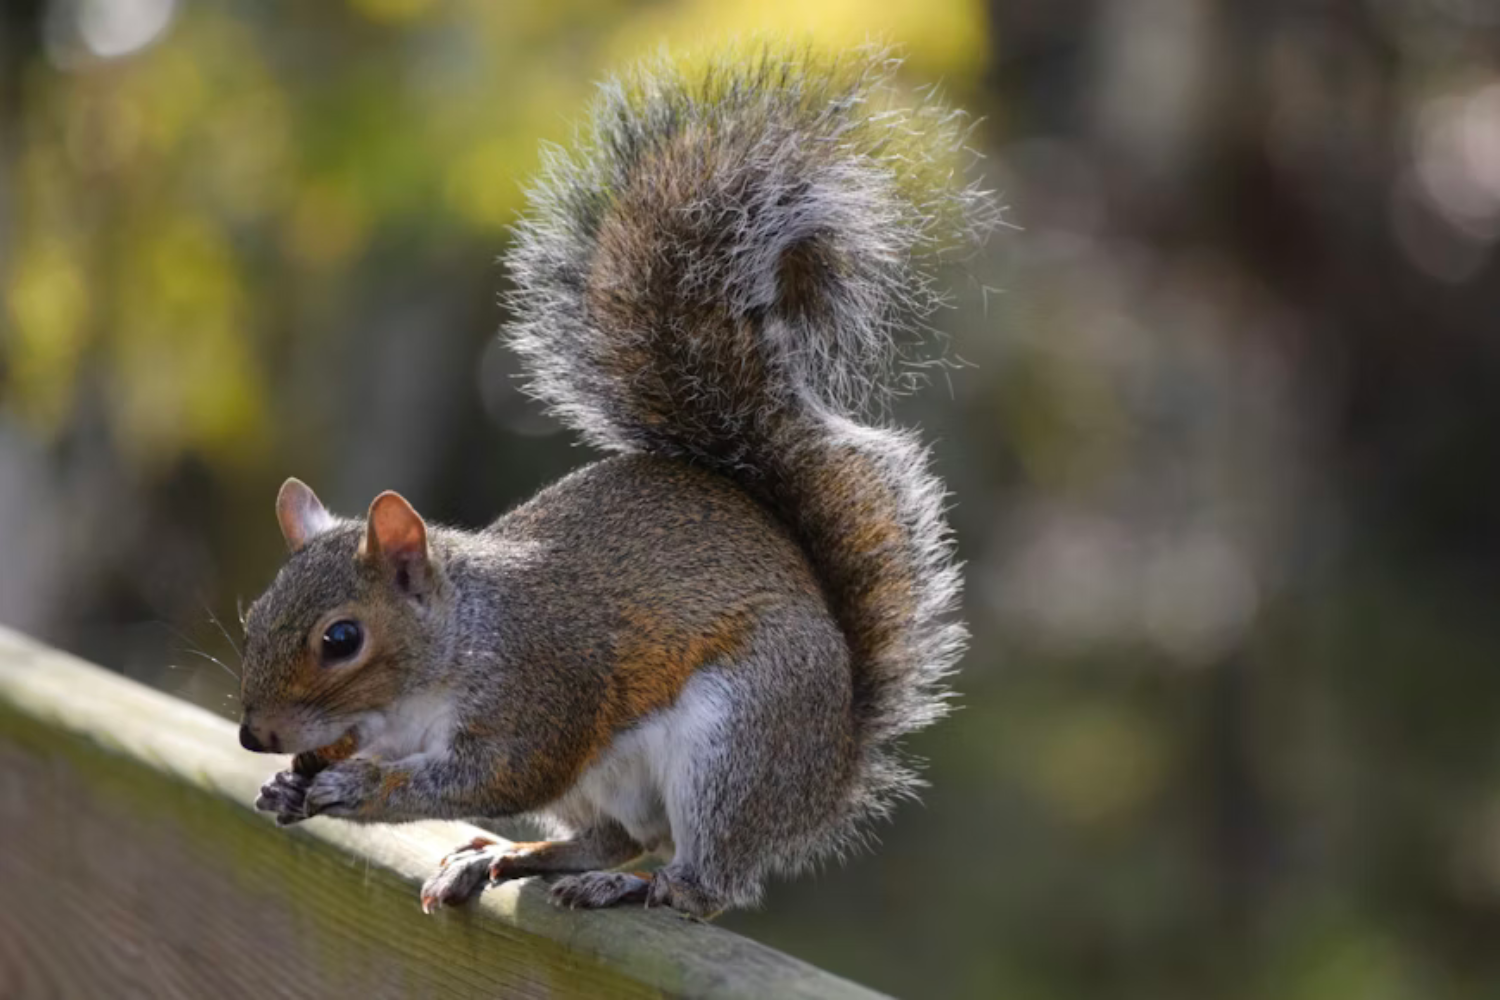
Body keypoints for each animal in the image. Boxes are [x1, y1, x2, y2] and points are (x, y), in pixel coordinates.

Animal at [239, 45, 993, 918]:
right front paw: (287, 786)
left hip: (734, 744)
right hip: (609, 786)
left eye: (341, 639)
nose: (254, 735)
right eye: (254, 617)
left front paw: (356, 789)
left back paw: (642, 888)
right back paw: (513, 855)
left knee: (700, 881)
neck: (455, 644)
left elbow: (498, 772)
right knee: (618, 835)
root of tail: (828, 770)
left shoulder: (541, 690)